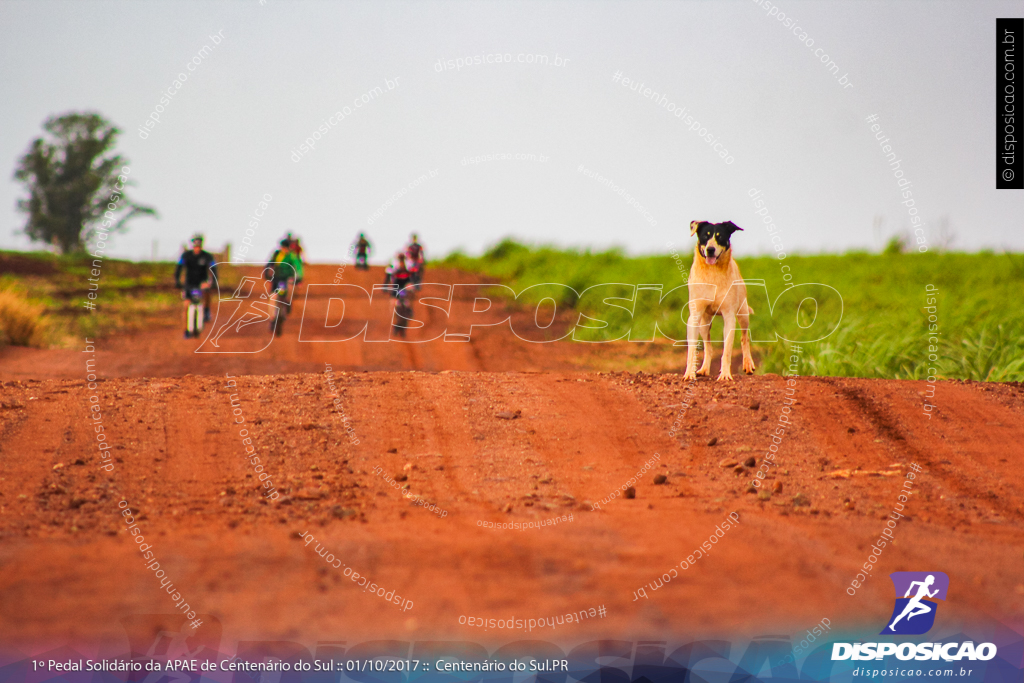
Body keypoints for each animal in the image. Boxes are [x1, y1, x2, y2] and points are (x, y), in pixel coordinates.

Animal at [684, 220, 757, 382]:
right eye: (705, 236)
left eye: (720, 236)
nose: (710, 249)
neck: (713, 273)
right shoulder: (695, 316)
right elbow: (692, 349)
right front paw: (689, 374)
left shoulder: (729, 316)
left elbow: (727, 350)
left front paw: (724, 375)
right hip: (704, 322)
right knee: (708, 345)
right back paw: (704, 369)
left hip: (743, 314)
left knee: (745, 338)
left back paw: (748, 365)